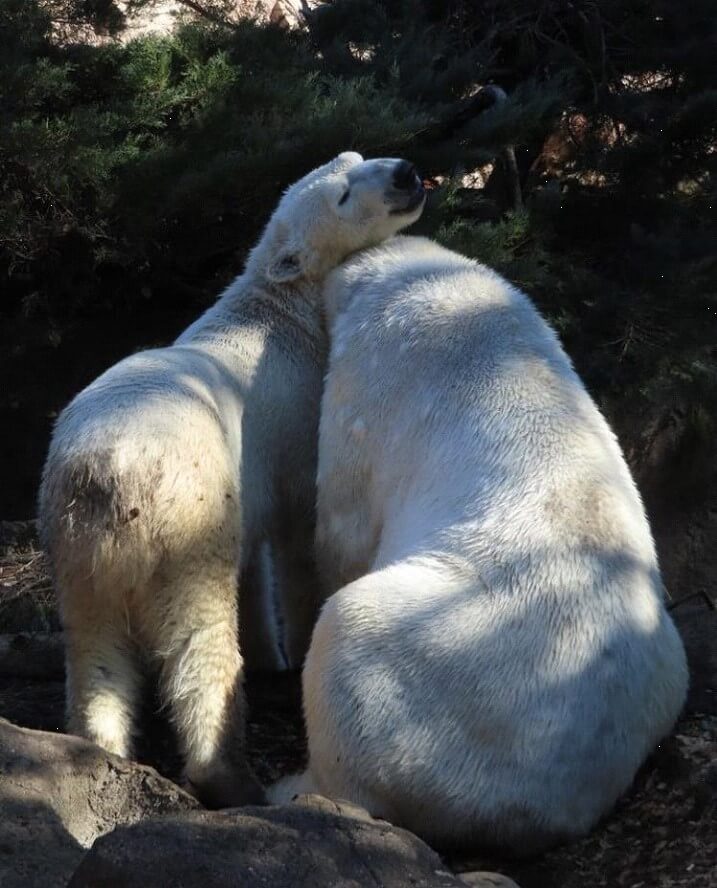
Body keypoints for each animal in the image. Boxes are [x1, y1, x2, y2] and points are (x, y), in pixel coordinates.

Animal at [37, 151, 426, 804]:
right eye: (344, 195)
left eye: (355, 158)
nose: (405, 172)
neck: (278, 311)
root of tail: (108, 475)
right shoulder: (293, 422)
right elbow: (297, 538)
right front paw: (294, 649)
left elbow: (253, 562)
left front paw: (270, 654)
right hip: (185, 518)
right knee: (199, 644)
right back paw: (231, 775)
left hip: (76, 544)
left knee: (95, 647)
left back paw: (101, 748)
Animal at [274, 234, 688, 852]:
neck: (437, 282)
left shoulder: (371, 381)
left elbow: (344, 526)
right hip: (664, 670)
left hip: (442, 675)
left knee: (351, 630)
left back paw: (292, 784)